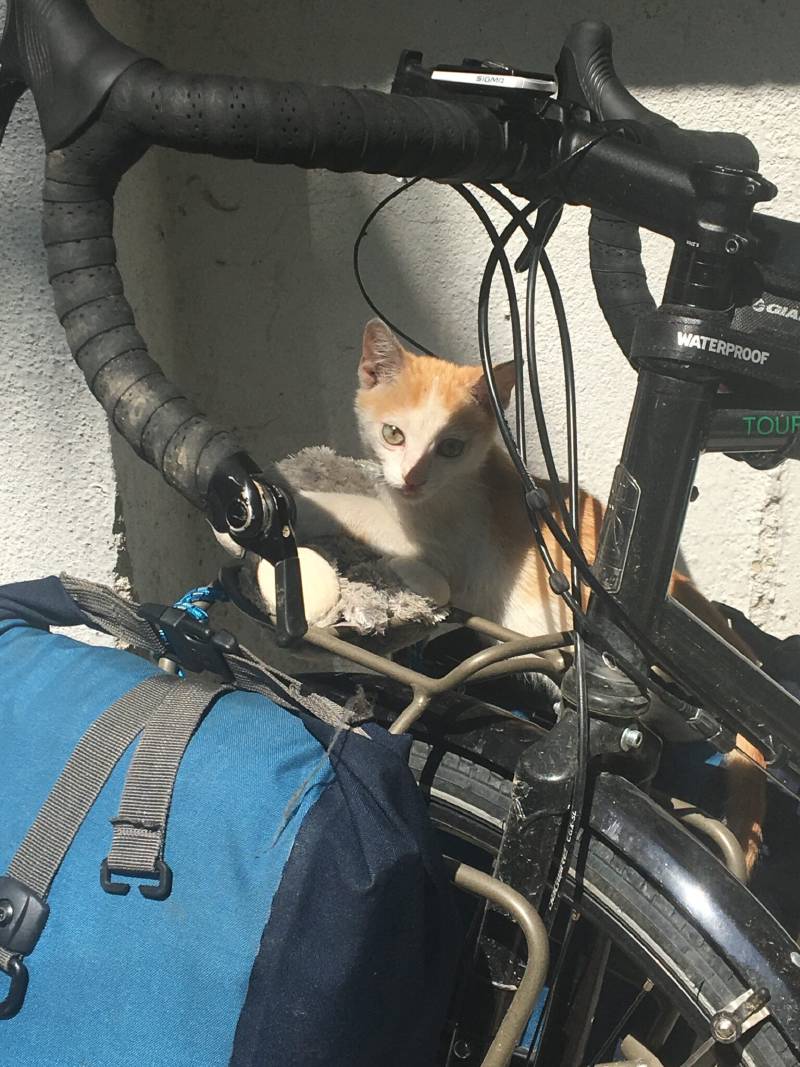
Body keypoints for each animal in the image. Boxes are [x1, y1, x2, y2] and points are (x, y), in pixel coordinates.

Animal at [294, 317, 765, 871]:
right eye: (394, 434)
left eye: (450, 448)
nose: (411, 479)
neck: (458, 486)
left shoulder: (452, 550)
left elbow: (382, 529)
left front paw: (304, 500)